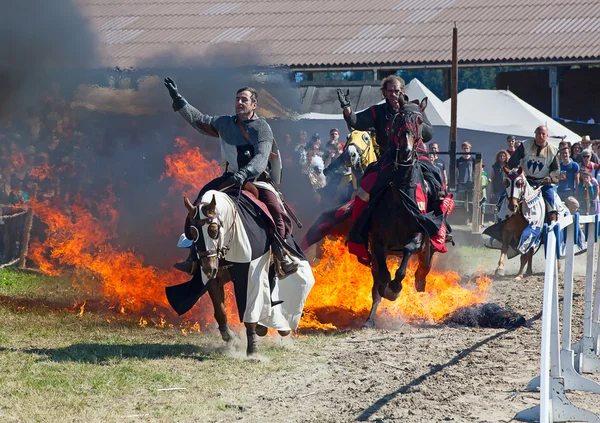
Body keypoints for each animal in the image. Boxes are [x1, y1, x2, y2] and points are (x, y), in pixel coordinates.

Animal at [164, 187, 314, 356]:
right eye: (193, 232)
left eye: (213, 230)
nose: (209, 268)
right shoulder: (213, 280)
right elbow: (220, 311)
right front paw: (229, 336)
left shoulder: (251, 272)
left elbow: (250, 311)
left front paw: (253, 350)